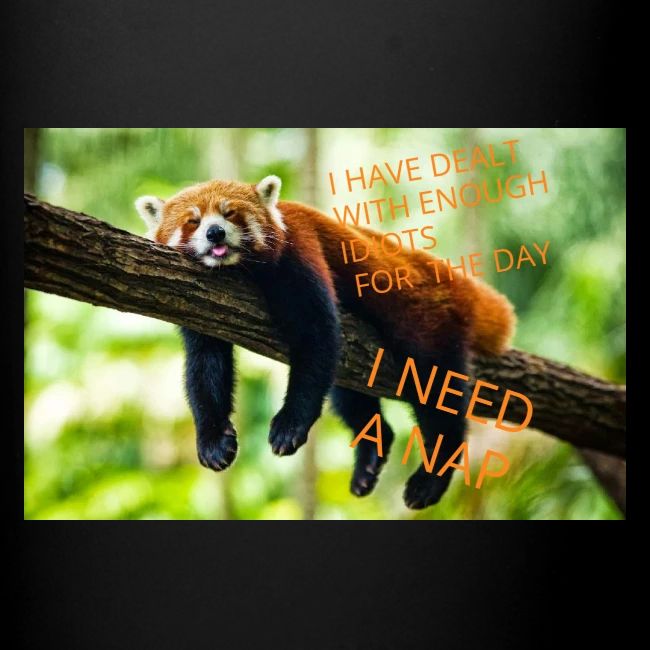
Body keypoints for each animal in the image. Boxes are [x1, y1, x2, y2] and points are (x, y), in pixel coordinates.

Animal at [136, 175, 515, 509]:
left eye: (230, 214)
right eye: (193, 221)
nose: (215, 232)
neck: (238, 270)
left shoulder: (300, 252)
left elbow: (316, 337)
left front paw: (290, 425)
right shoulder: (200, 303)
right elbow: (205, 366)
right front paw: (213, 440)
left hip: (427, 322)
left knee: (436, 391)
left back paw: (431, 477)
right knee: (349, 395)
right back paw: (370, 458)